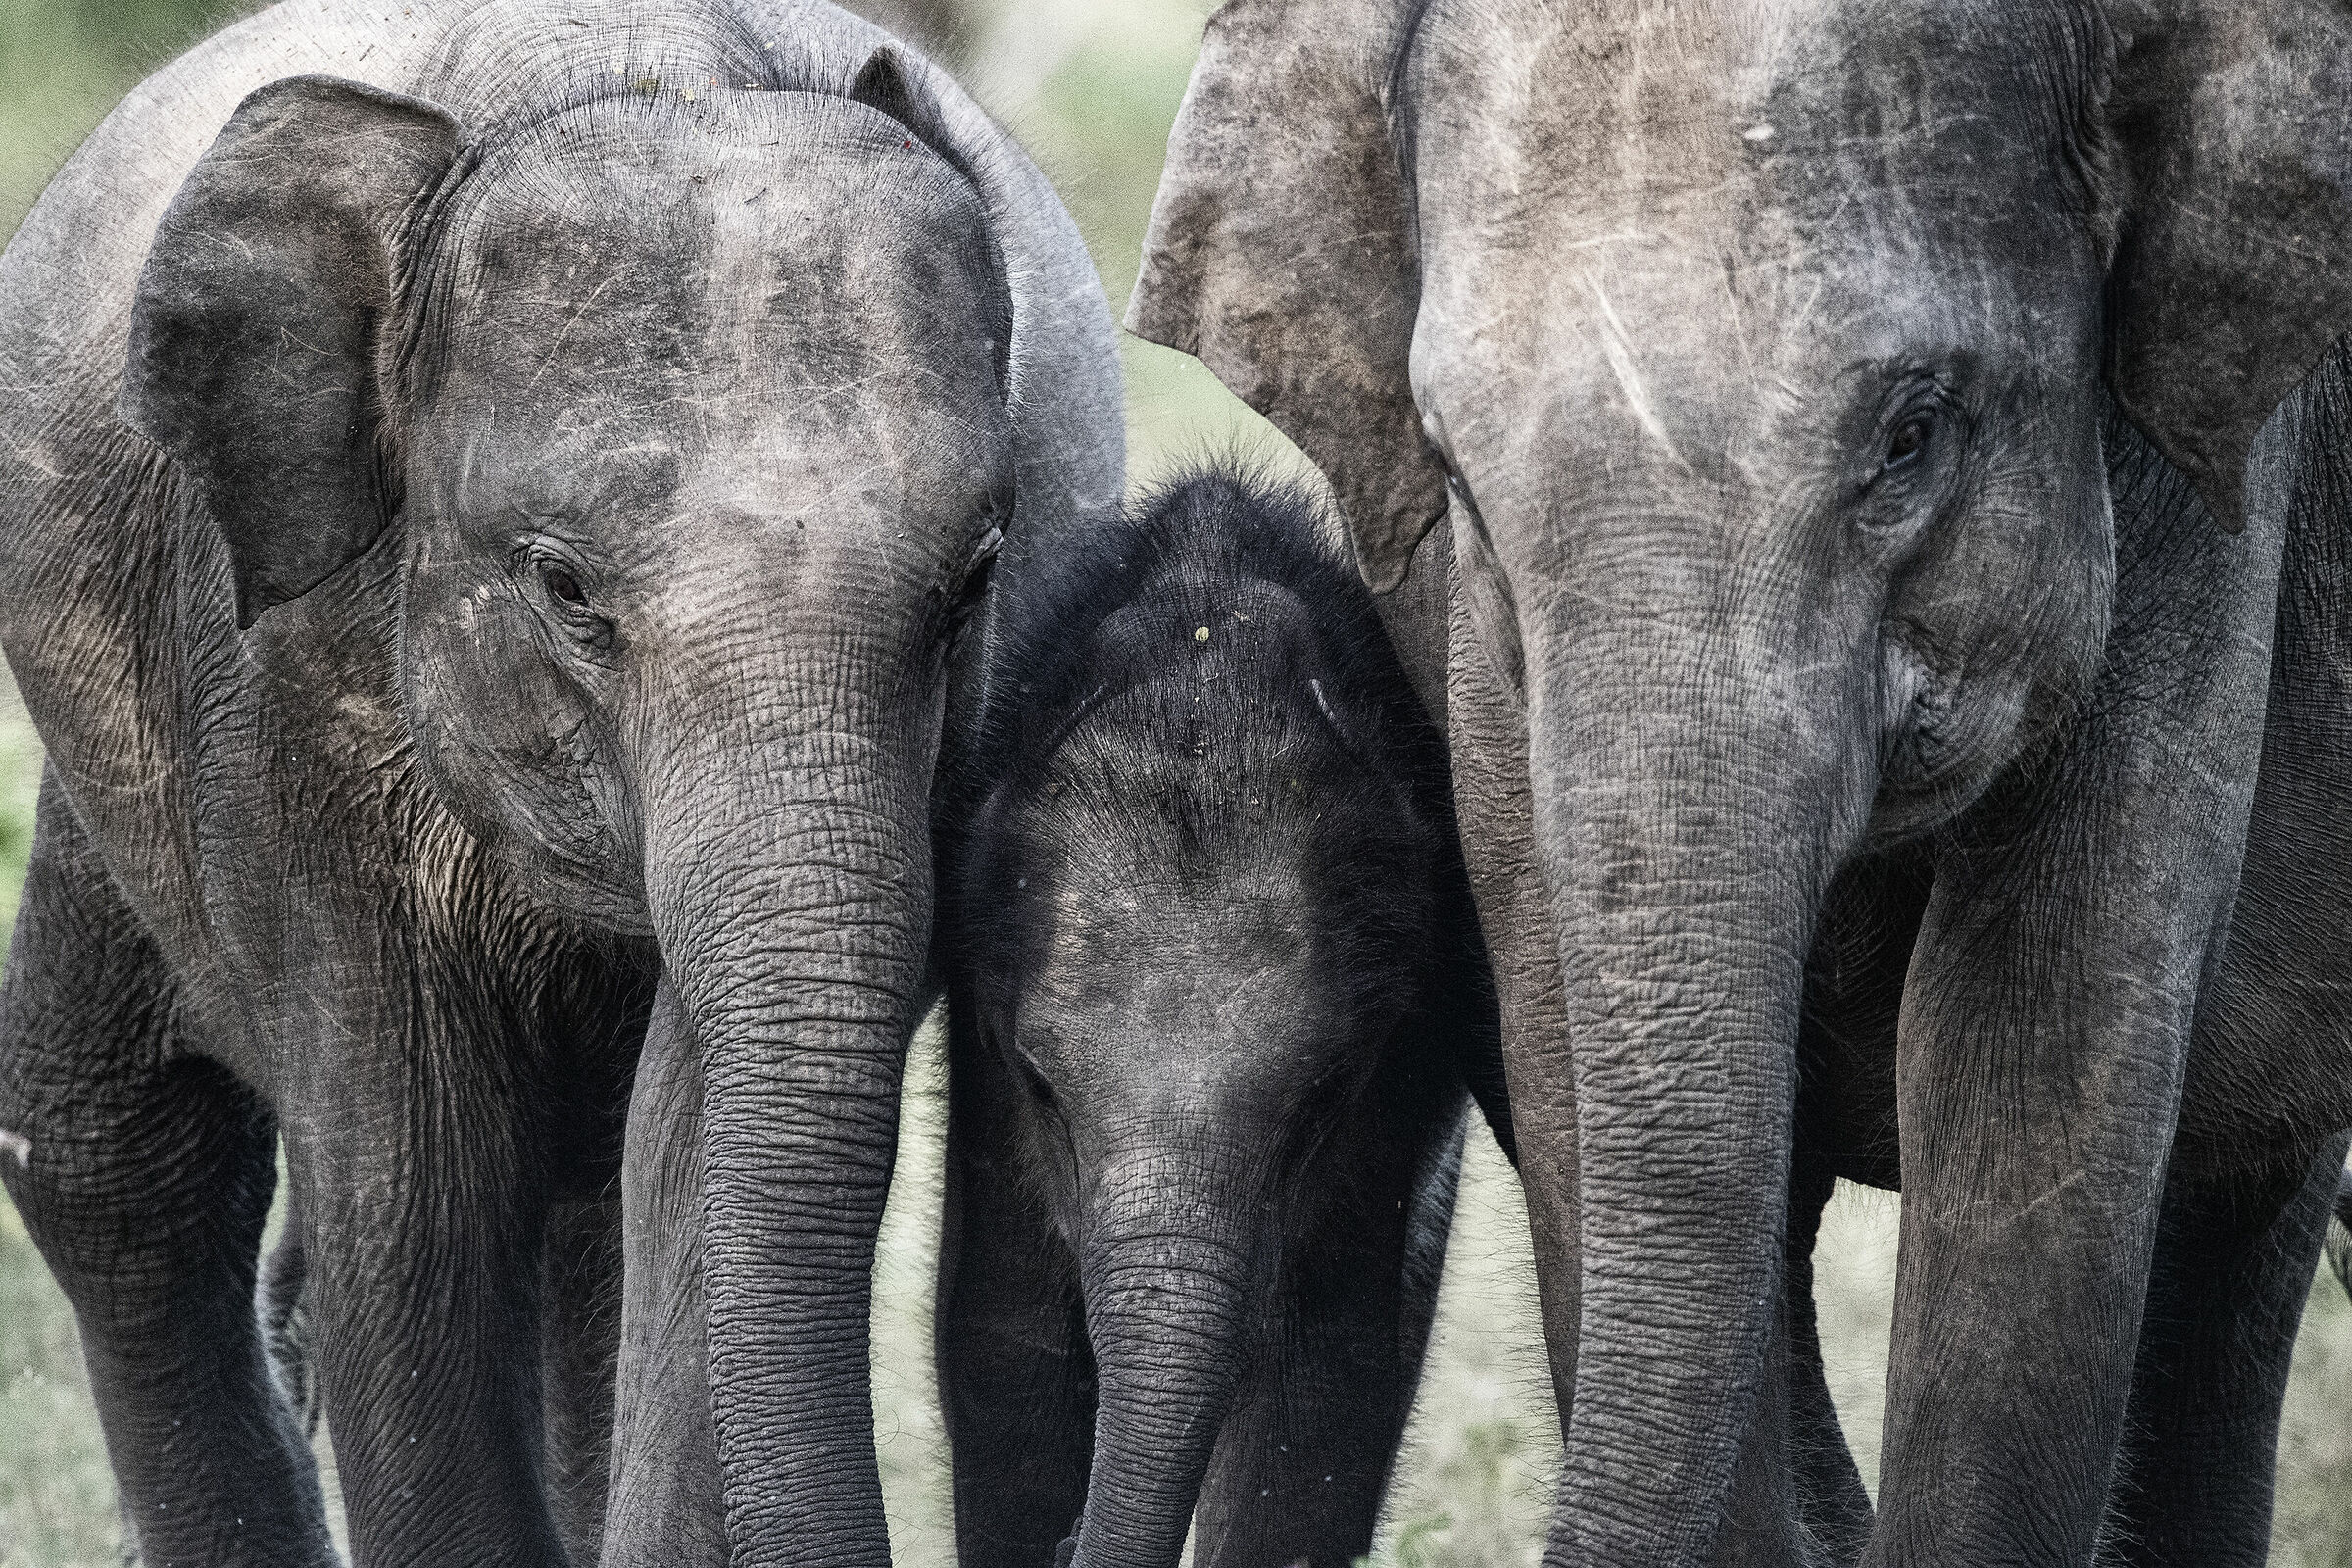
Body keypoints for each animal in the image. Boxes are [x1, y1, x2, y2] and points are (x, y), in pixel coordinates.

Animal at [0, 2, 1121, 1565]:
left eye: (975, 583)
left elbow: (689, 1162)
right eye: (565, 588)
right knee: (115, 1149)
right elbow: (415, 1191)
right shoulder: (286, 700)